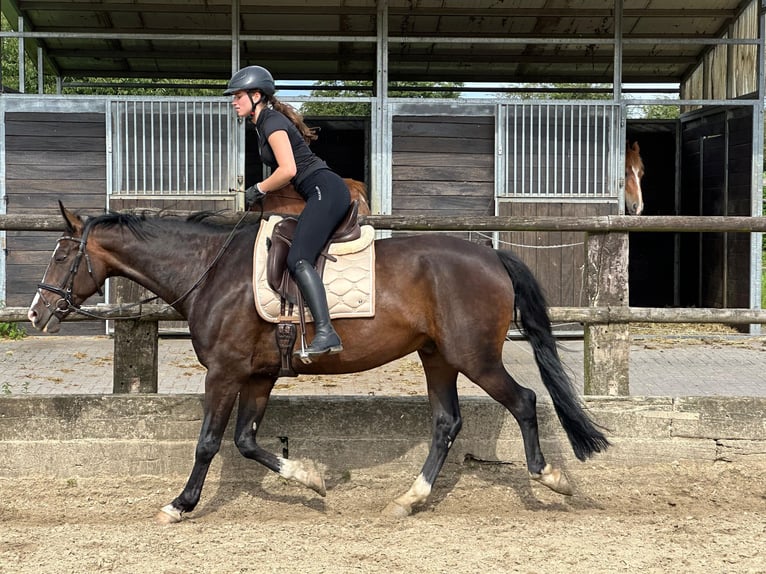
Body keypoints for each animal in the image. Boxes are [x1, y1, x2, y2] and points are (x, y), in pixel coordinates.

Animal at [27, 204, 608, 528]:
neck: (210, 271)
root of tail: (491, 256)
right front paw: (311, 479)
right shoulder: (258, 376)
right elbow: (246, 441)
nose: (35, 313)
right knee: (447, 423)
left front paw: (180, 505)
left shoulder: (225, 372)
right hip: (437, 356)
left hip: (474, 356)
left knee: (524, 401)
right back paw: (408, 500)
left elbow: (209, 443)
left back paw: (551, 478)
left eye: (61, 256)